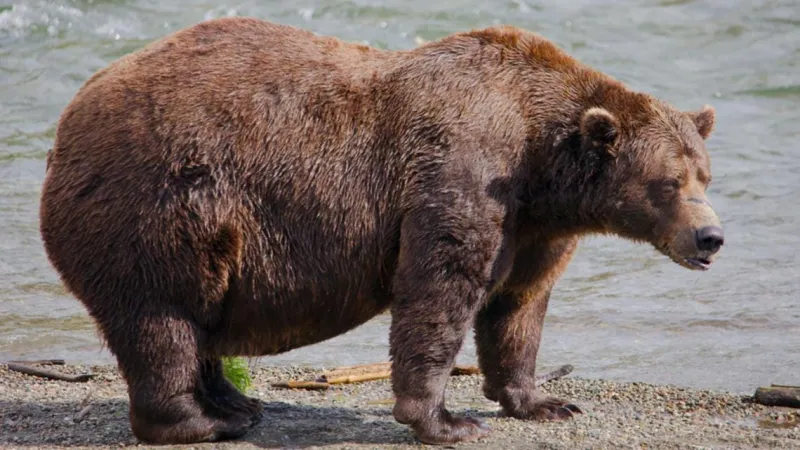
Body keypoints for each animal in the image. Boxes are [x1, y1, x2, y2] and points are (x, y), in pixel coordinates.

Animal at [39, 17, 724, 445]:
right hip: (159, 204)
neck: (541, 163)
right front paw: (447, 421)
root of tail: (66, 123)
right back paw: (202, 421)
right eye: (669, 182)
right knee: (163, 318)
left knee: (198, 318)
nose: (710, 238)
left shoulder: (534, 226)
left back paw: (236, 402)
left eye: (705, 175)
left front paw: (544, 402)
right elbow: (440, 289)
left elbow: (518, 306)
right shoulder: (462, 172)